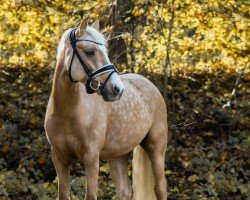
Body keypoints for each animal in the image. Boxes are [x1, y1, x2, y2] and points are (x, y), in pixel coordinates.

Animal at [45, 18, 168, 199]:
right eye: (90, 51)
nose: (117, 89)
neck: (67, 113)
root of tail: (149, 84)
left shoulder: (91, 158)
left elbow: (90, 195)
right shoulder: (60, 158)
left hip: (156, 148)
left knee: (160, 188)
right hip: (118, 156)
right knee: (124, 191)